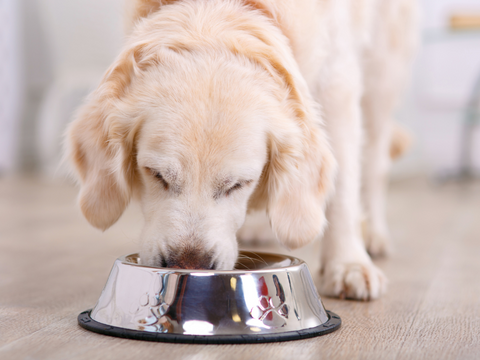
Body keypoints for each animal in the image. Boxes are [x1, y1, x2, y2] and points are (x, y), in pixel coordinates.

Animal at [65, 0, 418, 300]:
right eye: (156, 175)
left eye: (238, 184)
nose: (189, 266)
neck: (214, 10)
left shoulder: (337, 83)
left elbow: (343, 188)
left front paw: (348, 265)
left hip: (383, 73)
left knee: (375, 163)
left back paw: (373, 234)